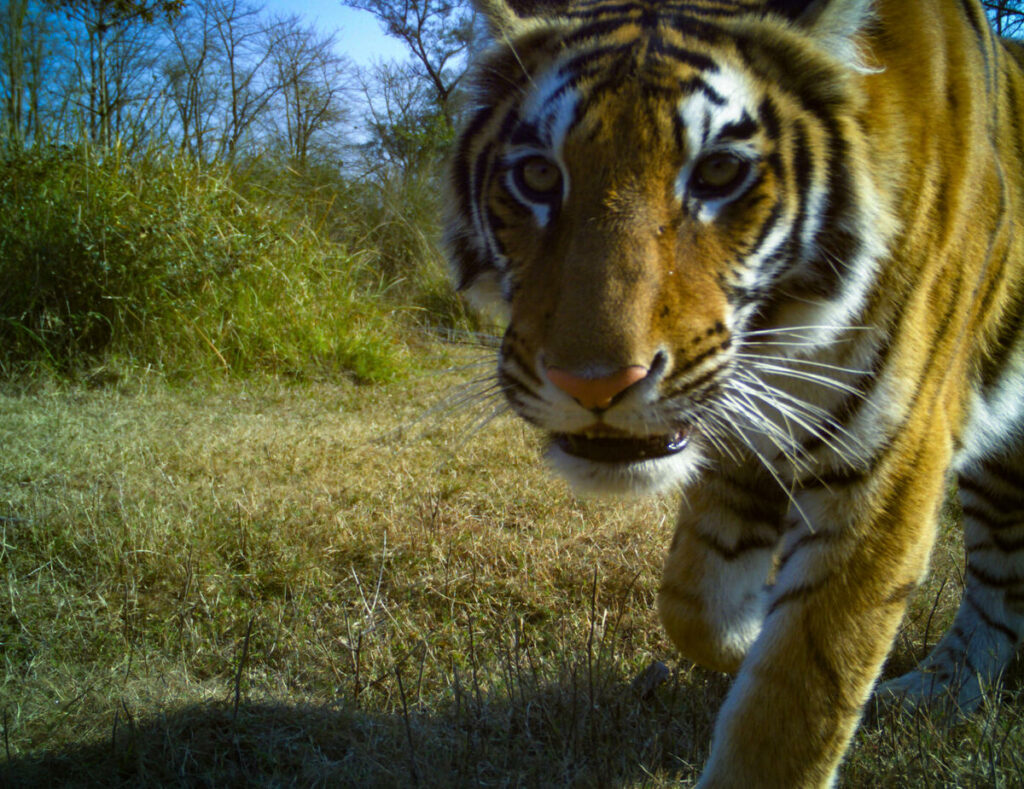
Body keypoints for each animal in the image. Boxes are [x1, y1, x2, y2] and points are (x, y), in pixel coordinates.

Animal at [444, 0, 1024, 785]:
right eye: (537, 175)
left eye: (719, 172)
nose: (594, 382)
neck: (779, 345)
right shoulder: (736, 436)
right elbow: (692, 602)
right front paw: (745, 632)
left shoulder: (891, 460)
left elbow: (799, 694)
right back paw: (938, 690)